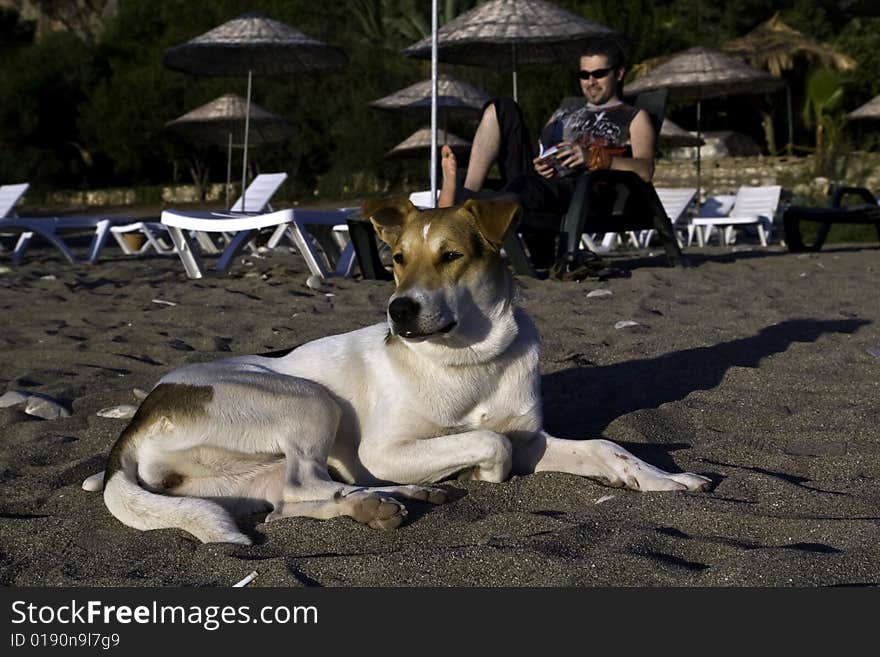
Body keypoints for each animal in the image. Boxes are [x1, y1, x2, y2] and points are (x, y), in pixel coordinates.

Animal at [84, 196, 708, 544]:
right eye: (398, 260)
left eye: (452, 256)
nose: (399, 311)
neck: (469, 359)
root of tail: (133, 426)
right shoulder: (385, 448)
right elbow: (489, 444)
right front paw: (482, 473)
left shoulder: (531, 438)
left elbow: (608, 448)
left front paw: (665, 478)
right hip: (307, 399)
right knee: (304, 482)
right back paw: (393, 494)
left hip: (241, 473)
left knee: (286, 499)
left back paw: (388, 500)